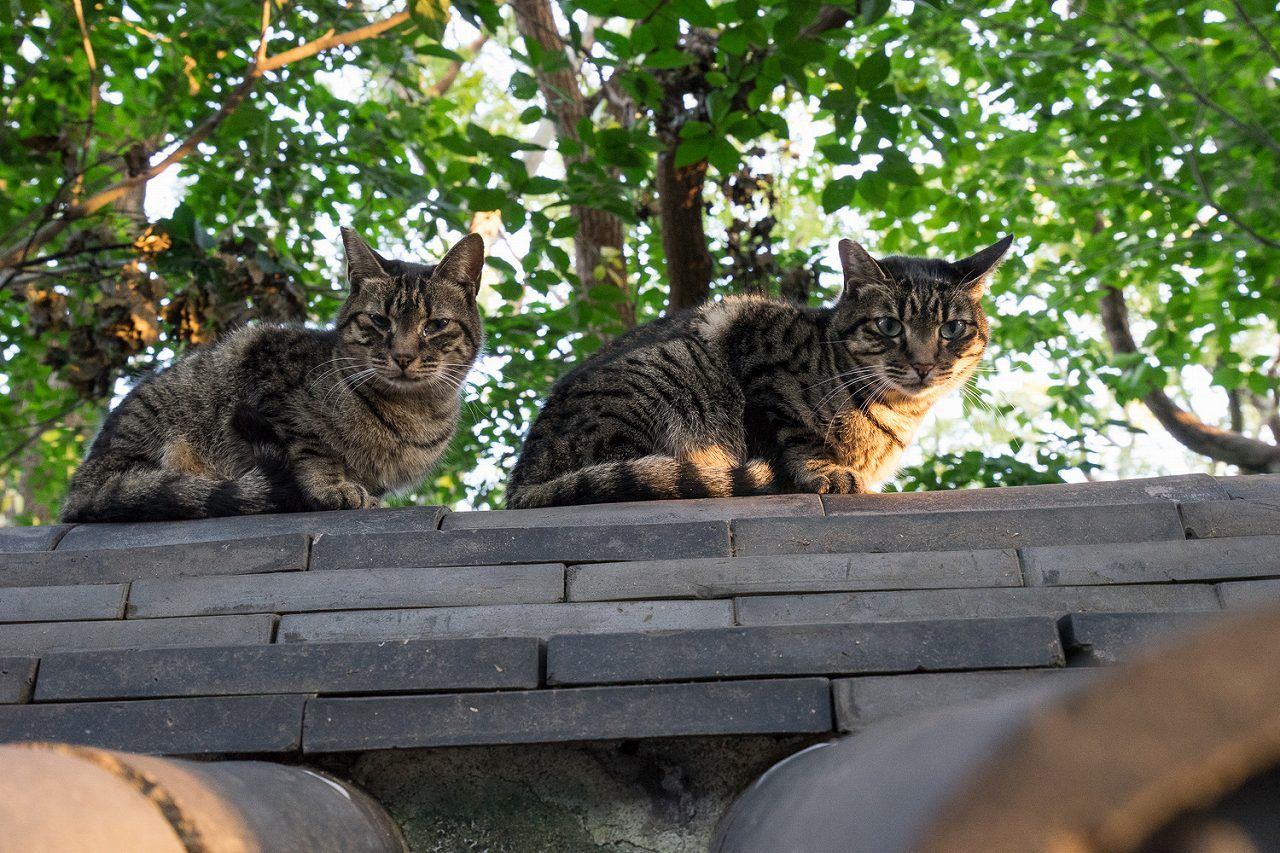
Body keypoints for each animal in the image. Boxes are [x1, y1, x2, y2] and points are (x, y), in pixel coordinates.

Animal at [58, 225, 483, 522]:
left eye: (435, 325)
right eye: (379, 321)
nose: (403, 356)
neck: (411, 412)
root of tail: (80, 488)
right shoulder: (269, 379)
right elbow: (311, 449)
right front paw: (331, 488)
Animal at [504, 234, 1013, 504]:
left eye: (952, 328)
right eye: (890, 325)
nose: (924, 364)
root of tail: (521, 484)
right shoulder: (756, 348)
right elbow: (795, 431)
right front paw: (823, 470)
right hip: (668, 372)